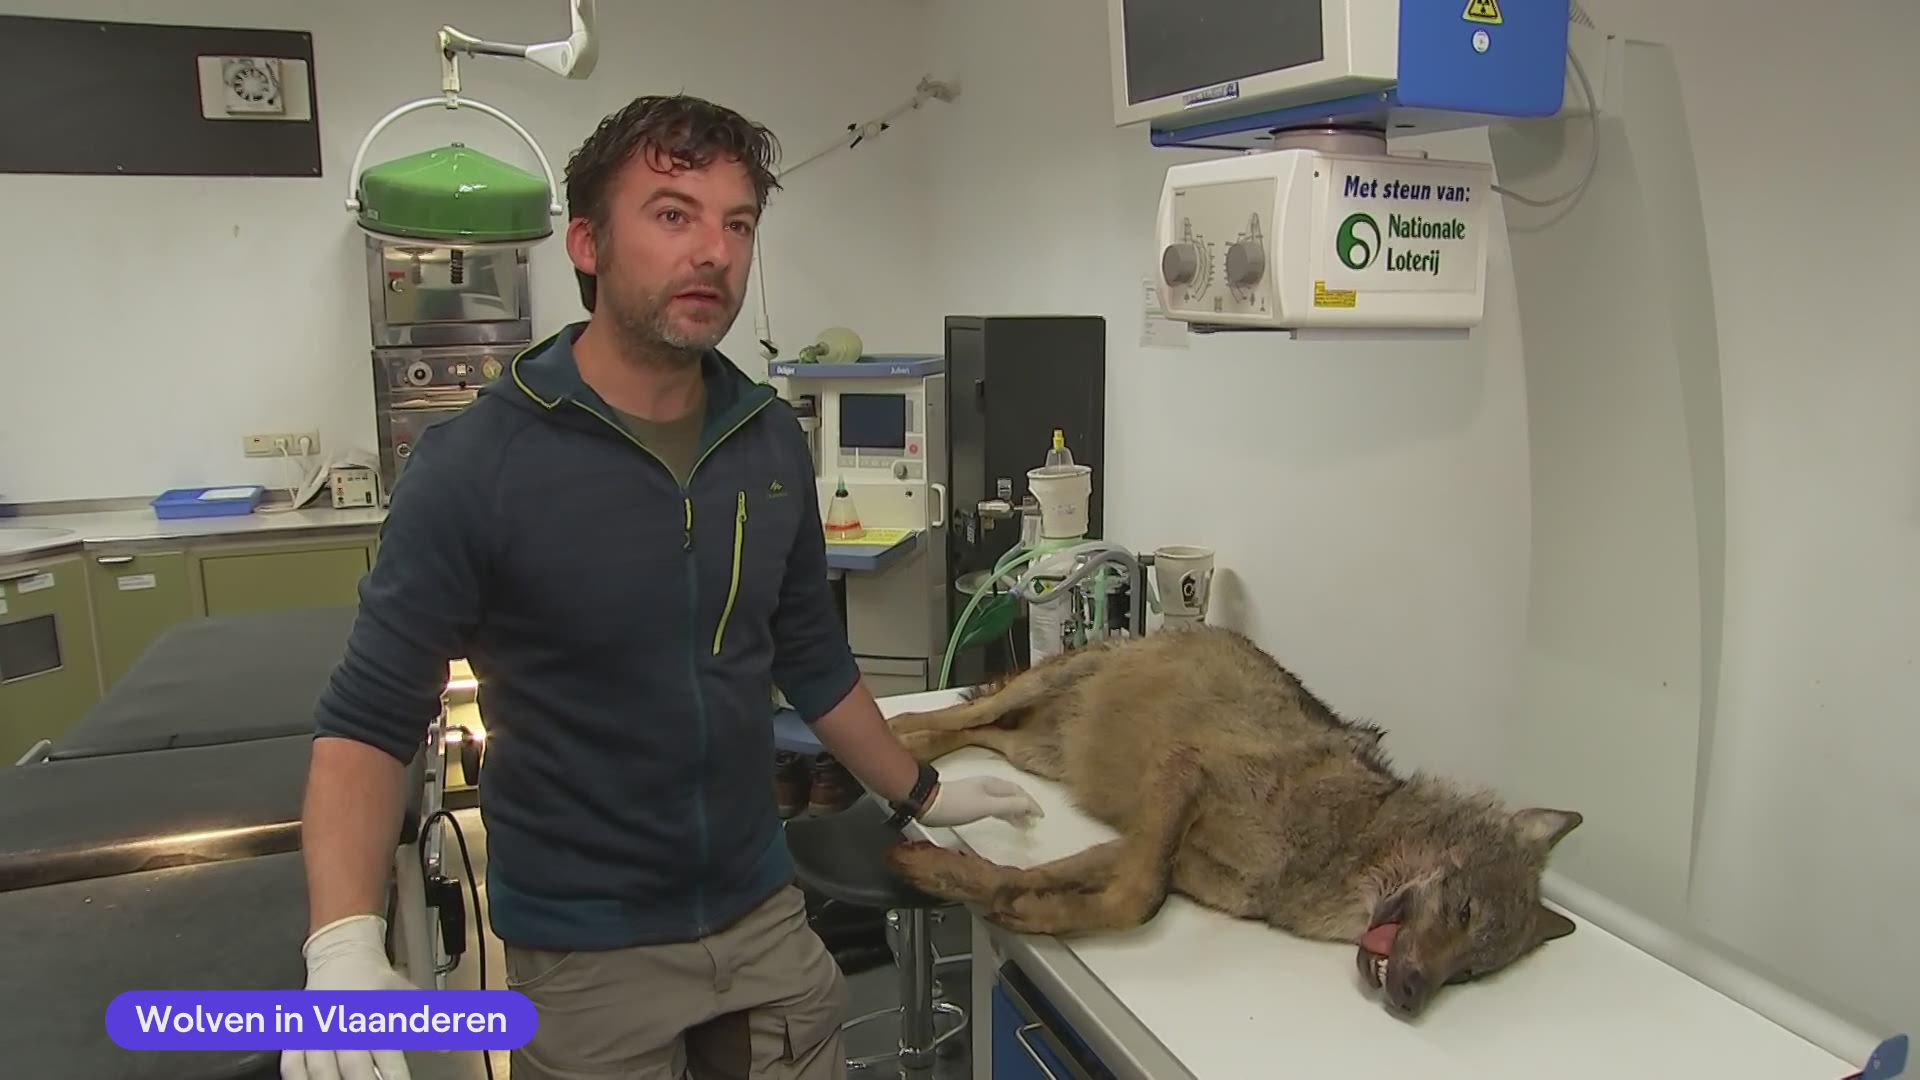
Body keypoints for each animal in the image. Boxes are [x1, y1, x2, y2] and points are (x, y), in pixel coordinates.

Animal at [882, 624, 1584, 1017]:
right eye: (1464, 911)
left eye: (1469, 974)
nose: (1412, 997)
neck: (1343, 845)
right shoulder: (1184, 774)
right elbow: (1139, 901)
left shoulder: (1149, 846)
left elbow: (1054, 879)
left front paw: (985, 890)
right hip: (1043, 692)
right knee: (947, 716)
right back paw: (897, 738)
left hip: (1033, 752)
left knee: (973, 734)